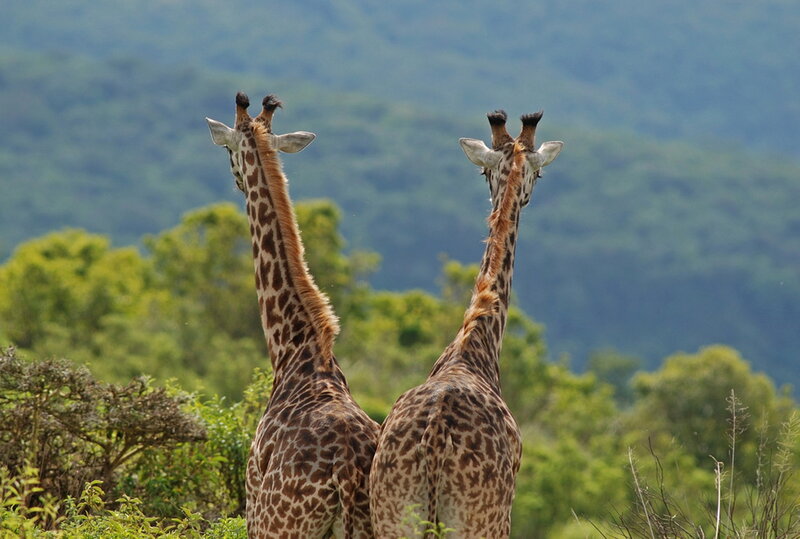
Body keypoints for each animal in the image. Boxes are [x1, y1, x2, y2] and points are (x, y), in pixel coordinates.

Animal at [206, 93, 379, 538]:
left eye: (228, 149)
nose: (235, 179)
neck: (294, 350)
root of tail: (346, 470)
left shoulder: (252, 507)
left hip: (281, 524)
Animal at [369, 110, 563, 538]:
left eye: (484, 172)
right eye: (540, 174)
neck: (473, 346)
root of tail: (434, 441)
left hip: (393, 515)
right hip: (478, 520)